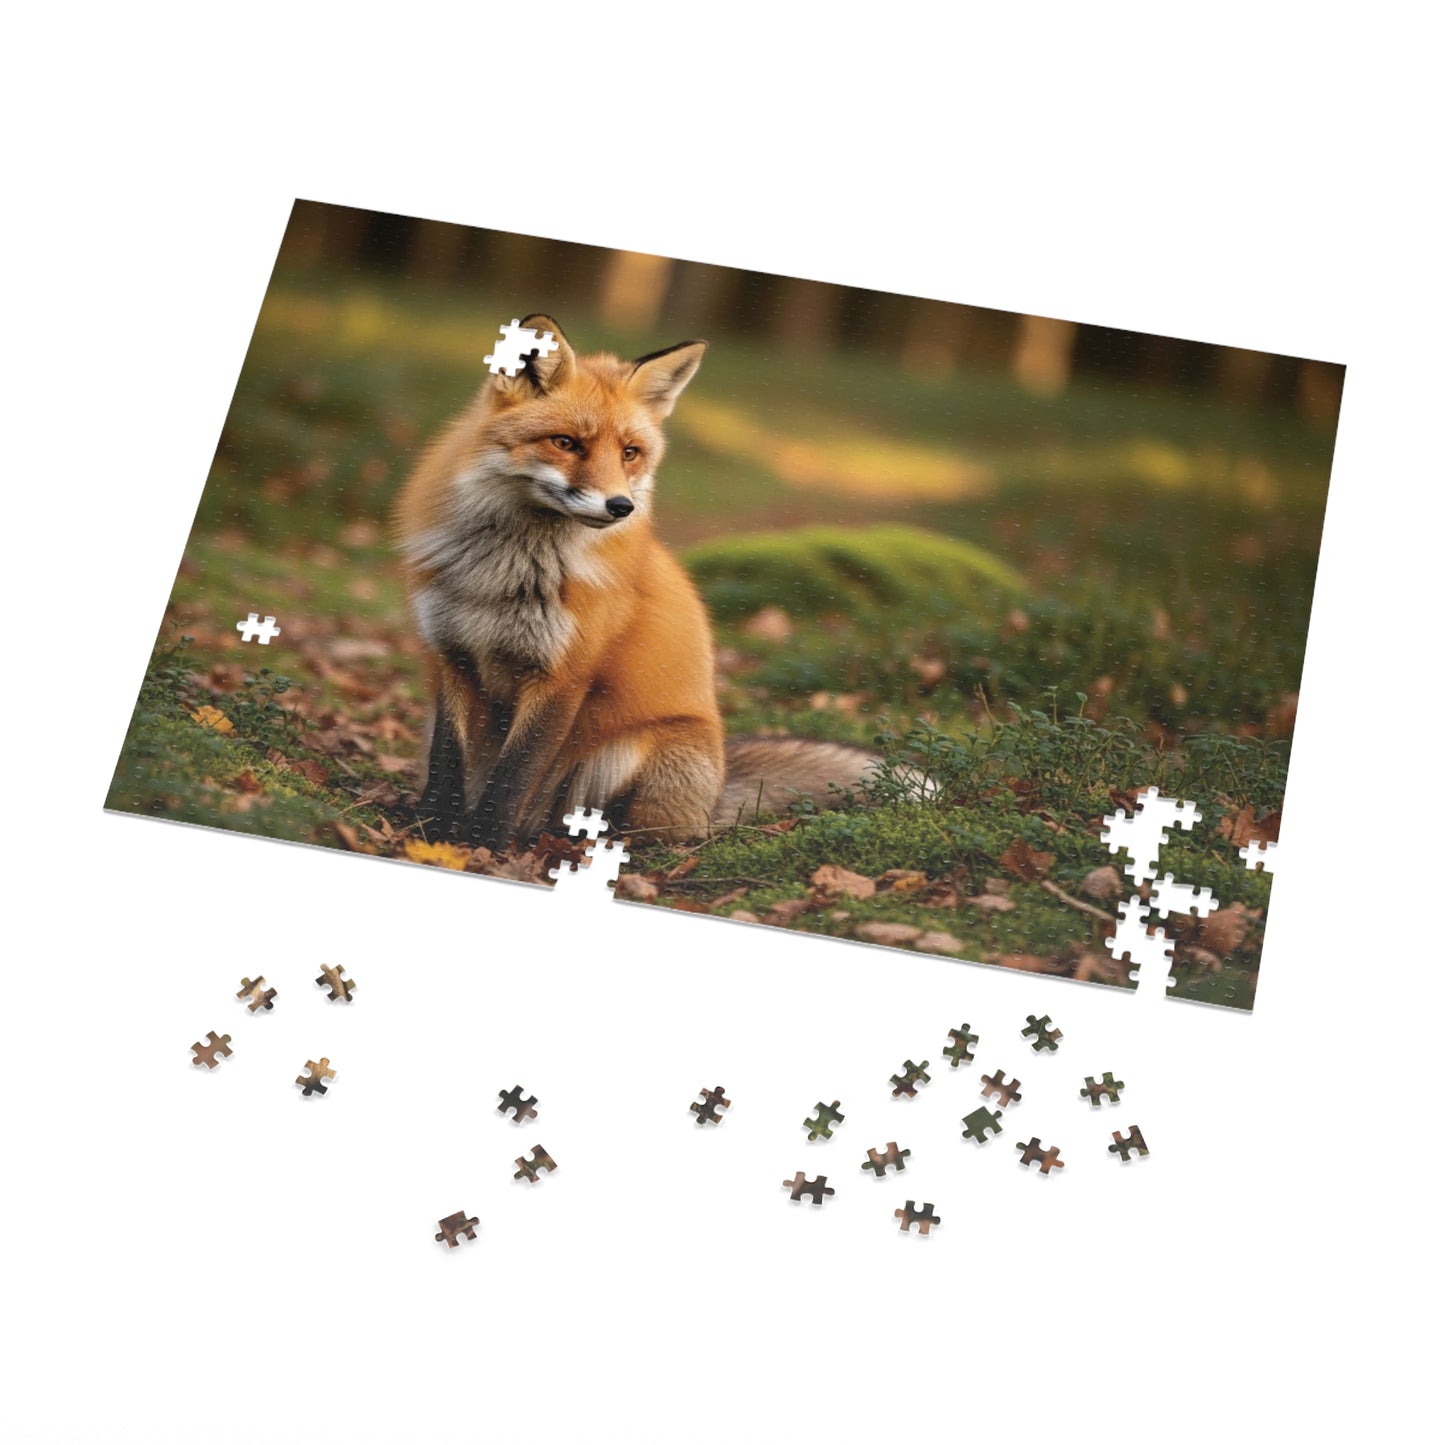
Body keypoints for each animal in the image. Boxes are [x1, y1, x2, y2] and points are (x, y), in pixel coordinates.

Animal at [393, 314, 875, 852]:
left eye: (630, 453)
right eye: (566, 443)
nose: (621, 506)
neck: (504, 570)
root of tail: (719, 788)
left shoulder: (564, 676)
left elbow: (513, 777)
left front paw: (483, 845)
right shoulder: (452, 656)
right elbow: (447, 763)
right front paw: (431, 833)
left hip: (629, 756)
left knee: (643, 828)